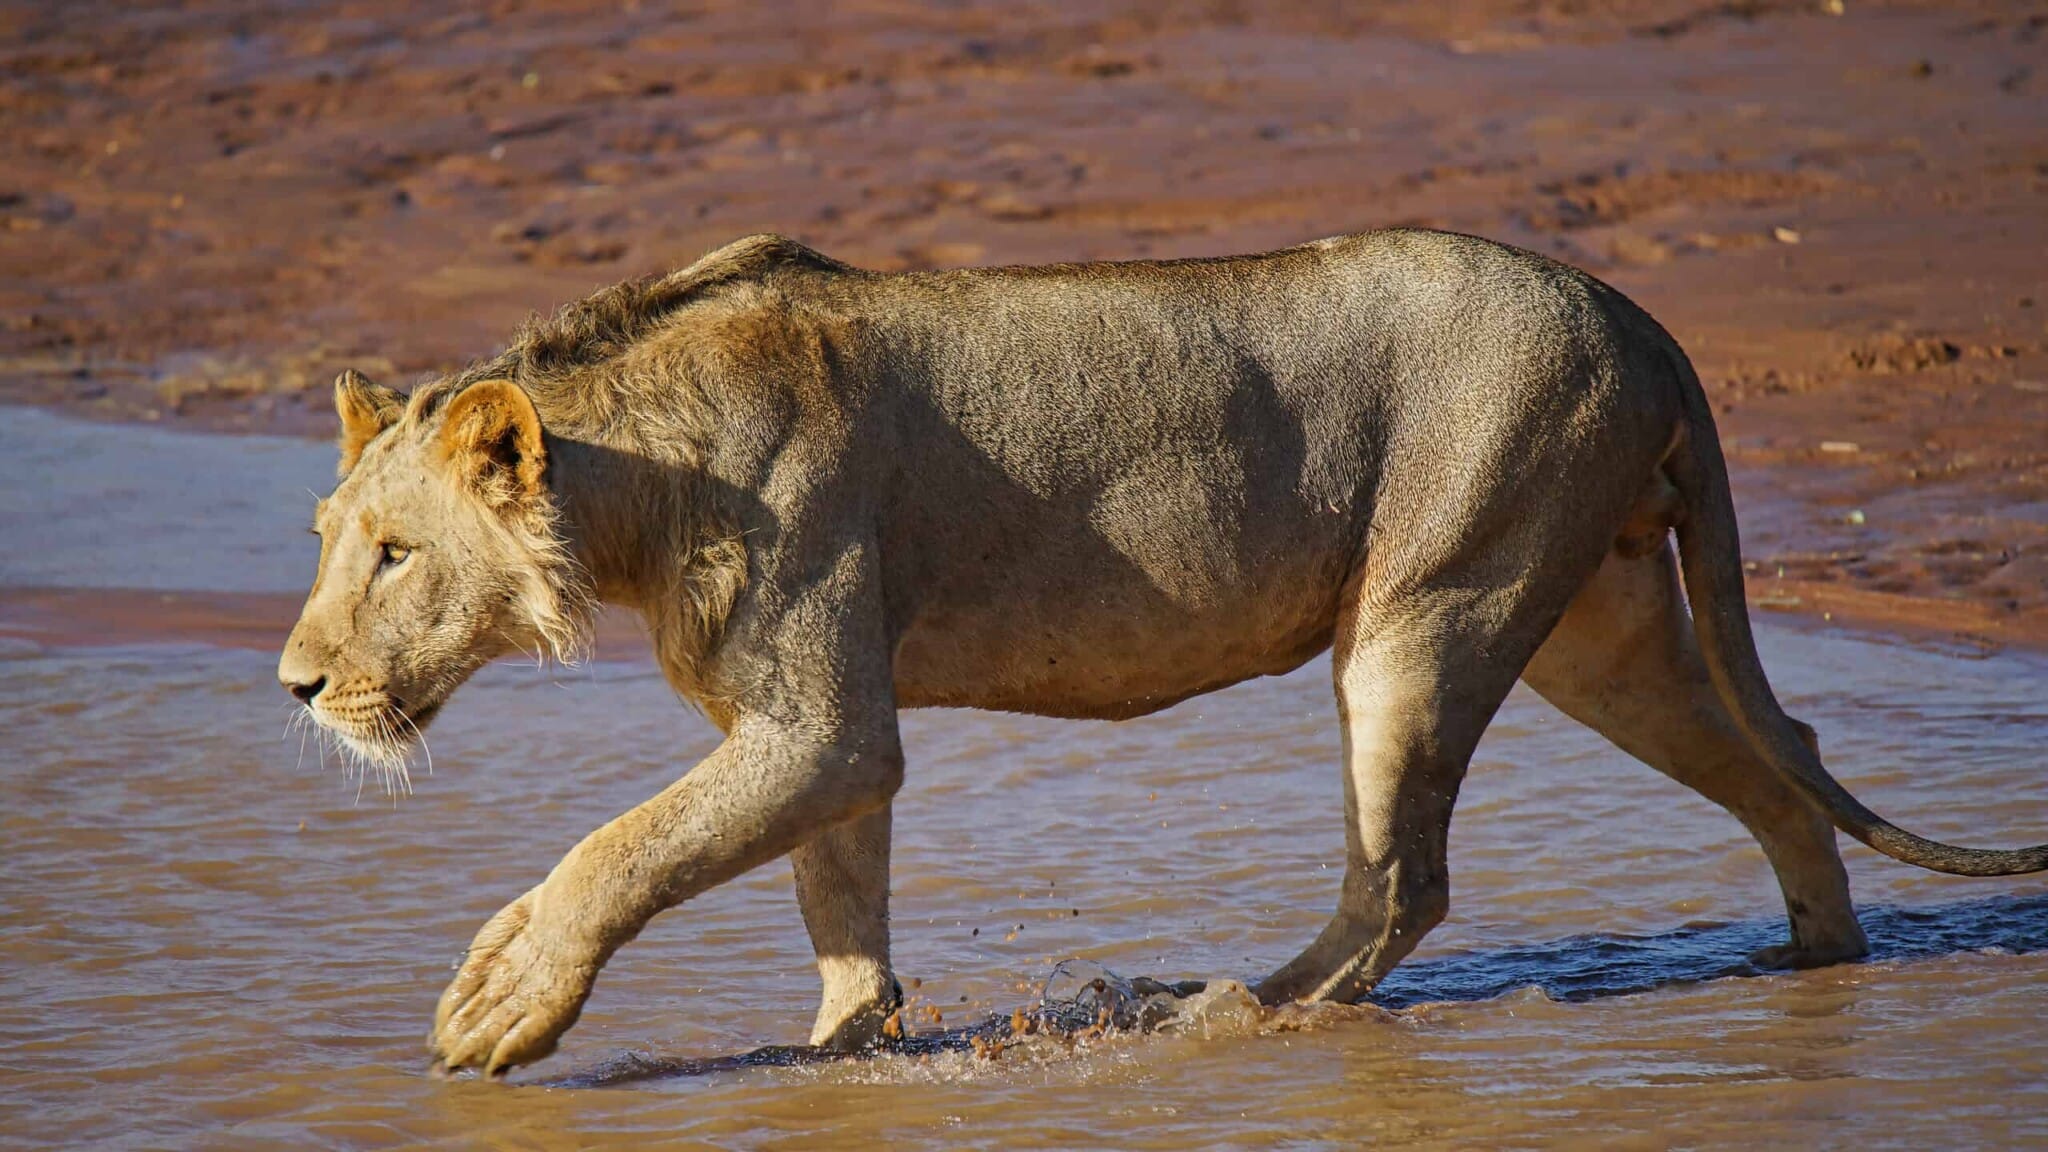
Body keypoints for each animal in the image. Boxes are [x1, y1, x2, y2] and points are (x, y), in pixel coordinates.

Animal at [278, 230, 2048, 1076]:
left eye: (394, 555)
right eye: (326, 538)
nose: (294, 686)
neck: (636, 486)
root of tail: (1643, 316)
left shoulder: (823, 721)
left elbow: (621, 850)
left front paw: (501, 999)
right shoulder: (825, 741)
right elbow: (840, 911)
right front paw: (836, 1055)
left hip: (1430, 607)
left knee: (1404, 883)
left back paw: (1223, 1012)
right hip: (1598, 630)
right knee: (1781, 767)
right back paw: (1818, 972)